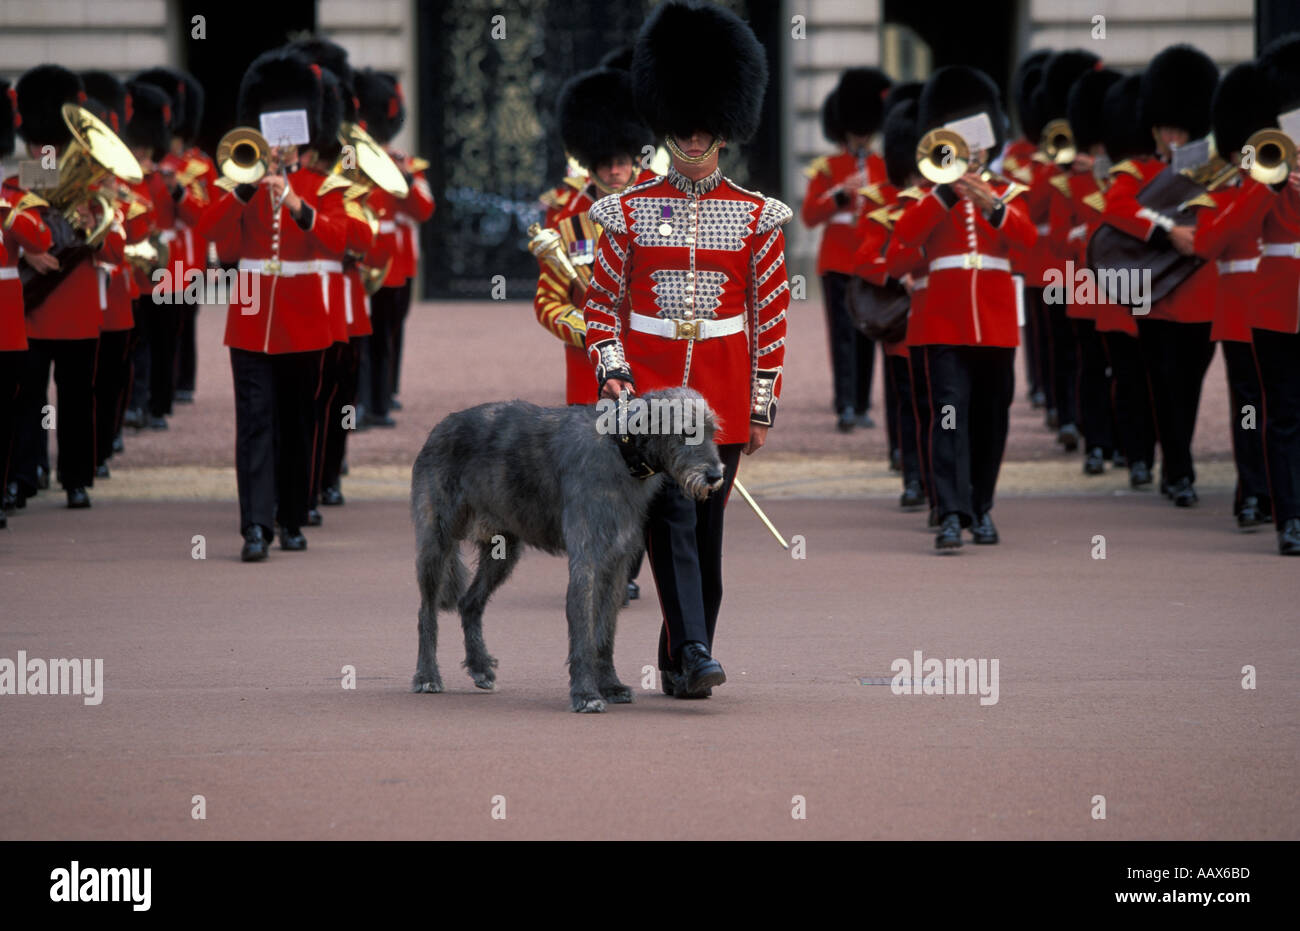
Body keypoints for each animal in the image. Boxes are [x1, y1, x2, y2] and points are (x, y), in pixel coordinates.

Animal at [410, 384, 728, 712]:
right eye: (686, 431)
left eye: (712, 431)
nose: (716, 476)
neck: (621, 449)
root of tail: (440, 427)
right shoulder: (586, 558)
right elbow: (583, 632)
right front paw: (586, 693)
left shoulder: (616, 563)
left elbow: (605, 632)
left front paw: (610, 685)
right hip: (436, 542)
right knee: (426, 612)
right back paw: (427, 675)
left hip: (503, 550)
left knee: (469, 602)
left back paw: (480, 666)